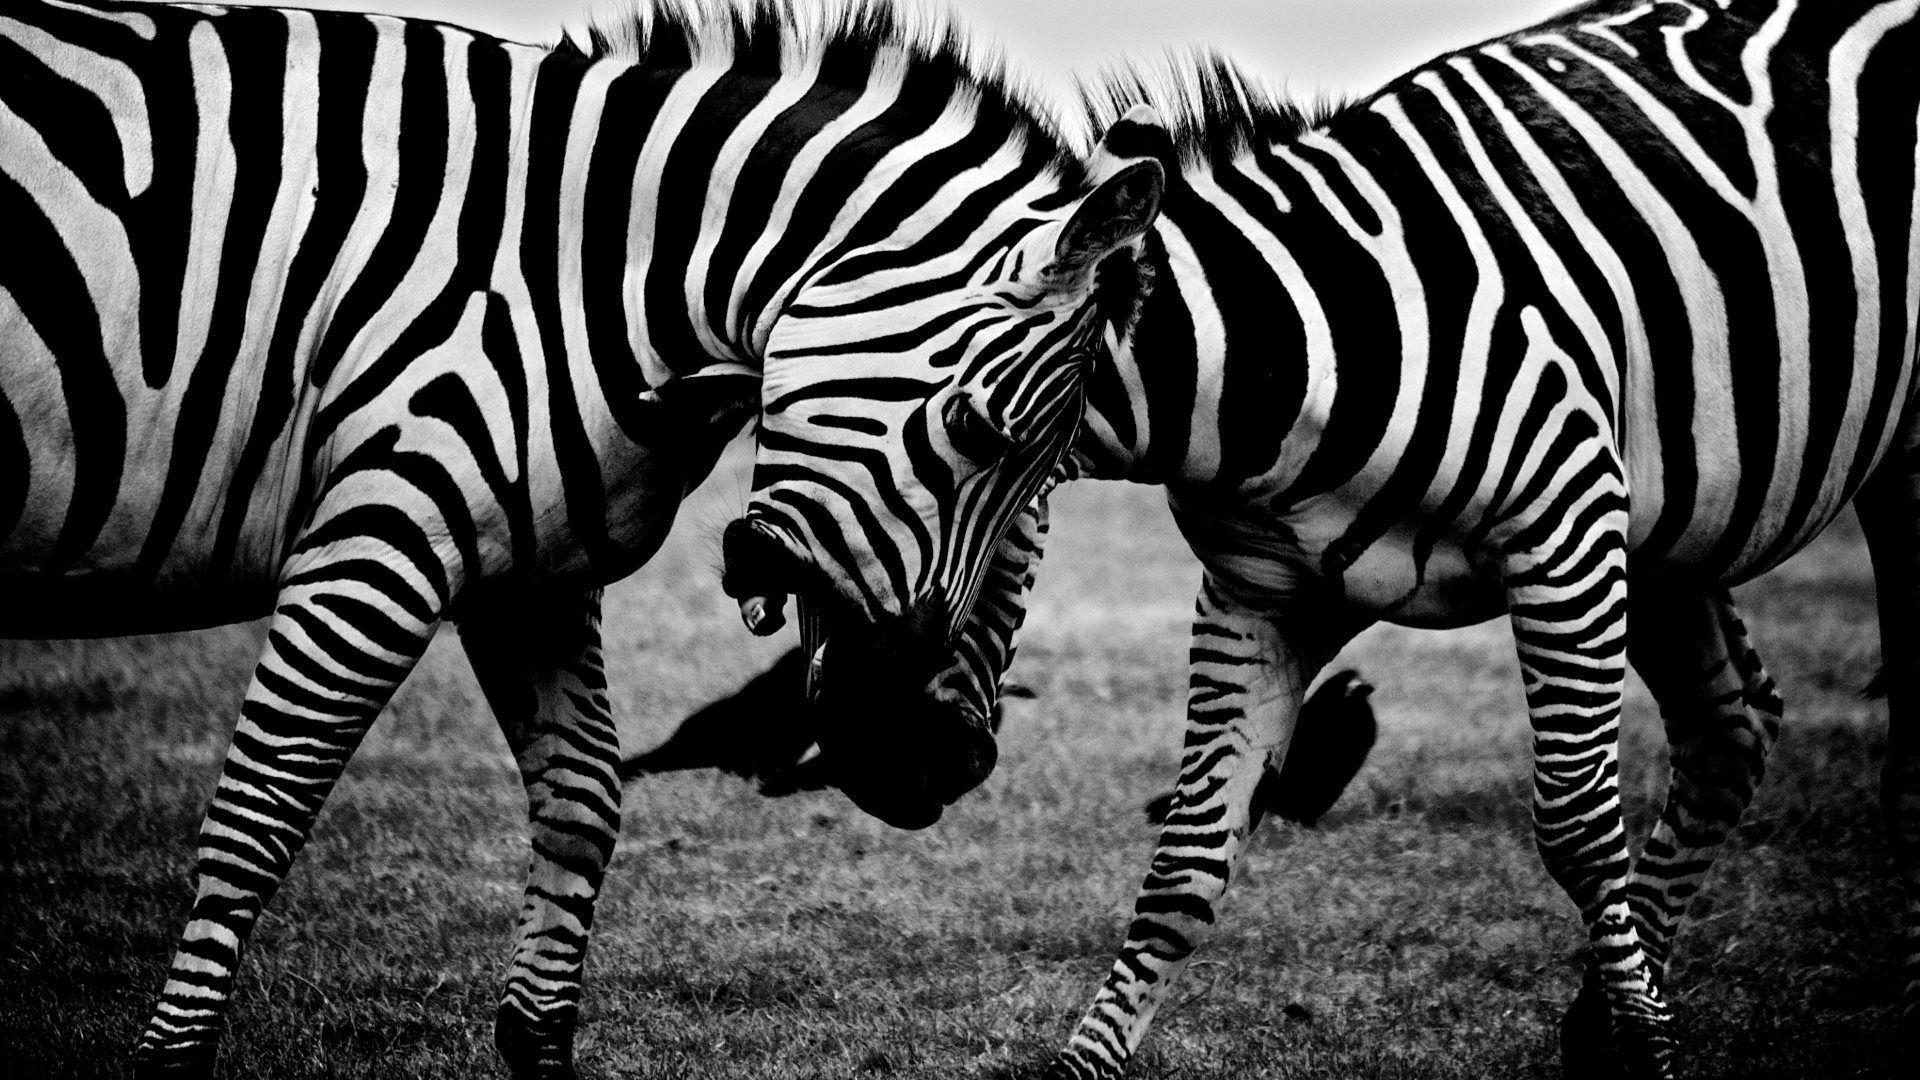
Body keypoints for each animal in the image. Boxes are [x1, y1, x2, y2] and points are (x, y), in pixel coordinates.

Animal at [0, 0, 1169, 1074]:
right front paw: (172, 1057)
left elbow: (584, 799)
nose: (939, 762)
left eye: (1051, 479)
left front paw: (538, 1036)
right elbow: (260, 812)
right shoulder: (380, 535)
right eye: (977, 431)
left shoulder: (529, 572)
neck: (576, 270)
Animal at [717, 0, 1920, 1075]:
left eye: (981, 435)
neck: (1282, 364)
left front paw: (1653, 1057)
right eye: (765, 400)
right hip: (1669, 529)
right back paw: (1602, 1025)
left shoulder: (1568, 530)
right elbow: (1186, 863)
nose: (868, 758)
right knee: (1734, 727)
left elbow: (1580, 830)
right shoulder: (1262, 595)